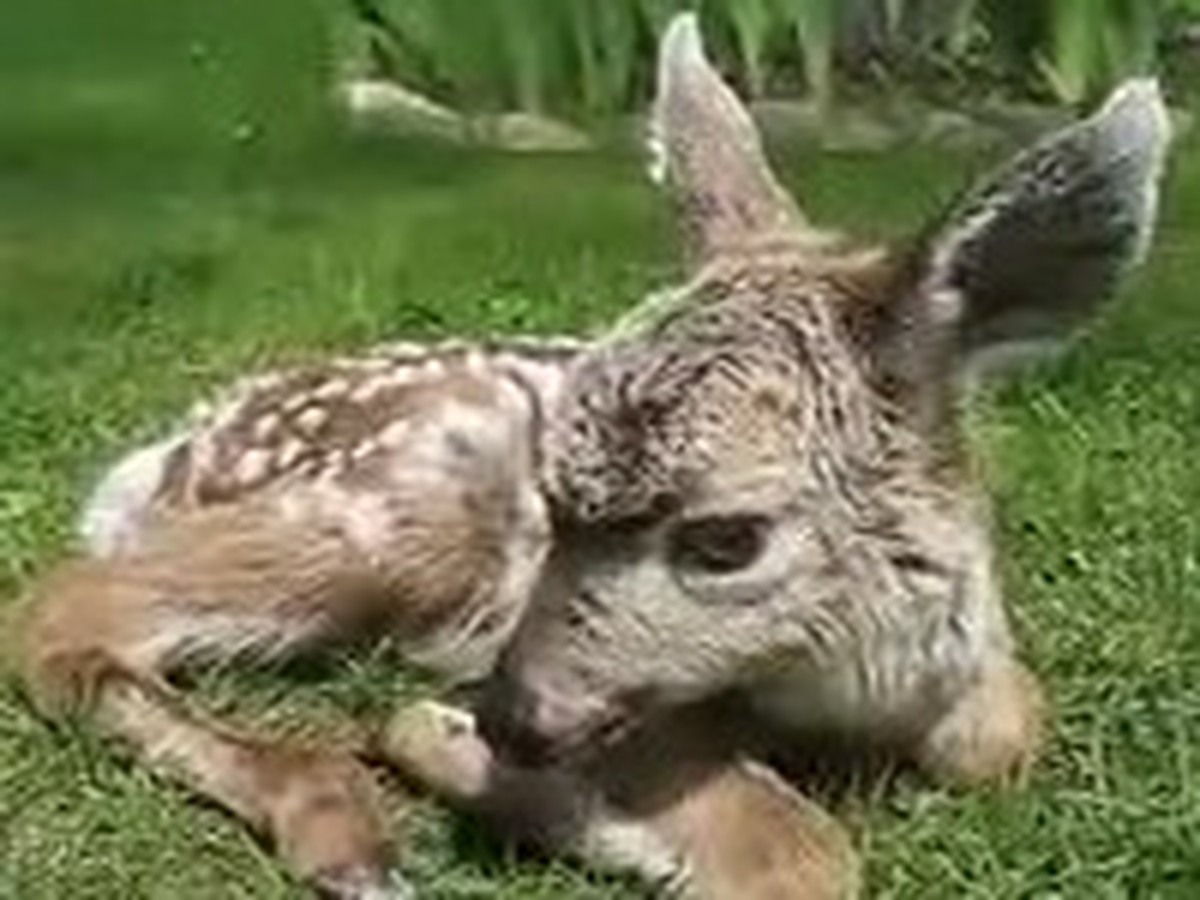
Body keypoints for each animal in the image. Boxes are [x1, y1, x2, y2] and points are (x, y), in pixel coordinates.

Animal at [11, 13, 1170, 900]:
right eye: (555, 502)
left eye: (725, 539)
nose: (509, 718)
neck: (850, 693)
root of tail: (174, 448)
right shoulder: (624, 701)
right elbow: (799, 853)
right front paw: (443, 746)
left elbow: (1008, 733)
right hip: (398, 507)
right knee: (58, 610)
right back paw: (348, 837)